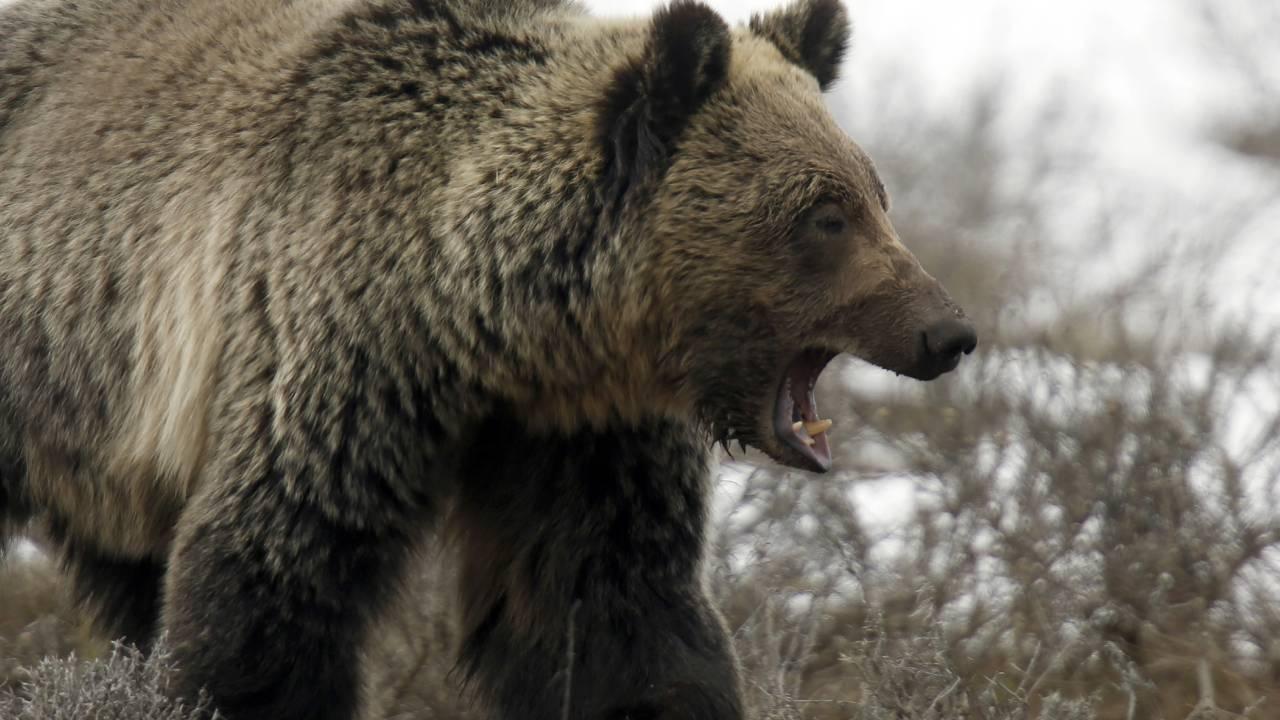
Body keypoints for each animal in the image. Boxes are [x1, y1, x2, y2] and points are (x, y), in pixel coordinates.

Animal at [2, 0, 977, 712]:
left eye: (876, 195)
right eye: (824, 215)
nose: (947, 332)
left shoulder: (579, 435)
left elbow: (613, 609)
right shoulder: (329, 366)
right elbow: (267, 586)